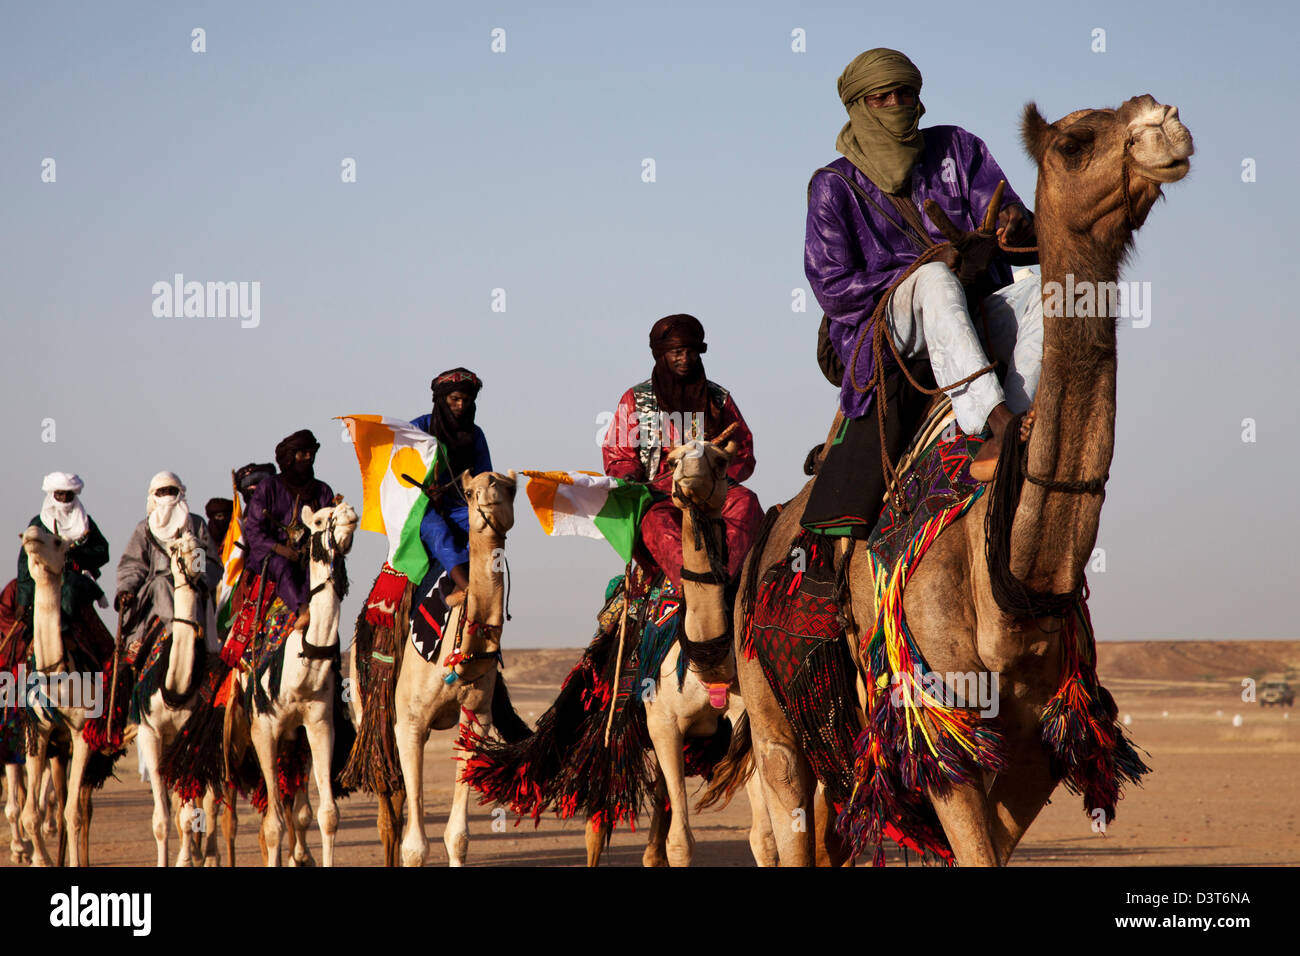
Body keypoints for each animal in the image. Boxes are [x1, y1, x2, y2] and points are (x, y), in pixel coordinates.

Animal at [232, 502, 356, 868]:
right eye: (320, 519)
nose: (349, 511)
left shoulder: (318, 725)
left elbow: (328, 815)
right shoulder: (263, 730)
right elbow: (273, 825)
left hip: (295, 743)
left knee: (299, 810)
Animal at [587, 434, 774, 868]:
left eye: (721, 460)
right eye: (671, 460)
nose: (687, 471)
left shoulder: (744, 723)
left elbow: (763, 838)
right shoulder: (663, 723)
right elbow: (681, 843)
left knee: (657, 808)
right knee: (598, 820)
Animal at [728, 95, 1190, 868]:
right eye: (1073, 142)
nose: (1167, 124)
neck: (1009, 574)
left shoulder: (1040, 747)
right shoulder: (936, 730)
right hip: (771, 718)